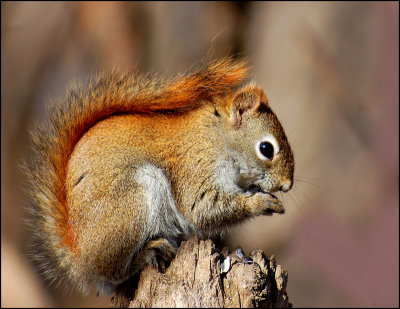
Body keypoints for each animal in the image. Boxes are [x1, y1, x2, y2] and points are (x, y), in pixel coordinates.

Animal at [24, 56, 294, 294]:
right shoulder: (194, 166)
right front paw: (261, 203)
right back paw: (148, 253)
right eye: (266, 148)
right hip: (131, 206)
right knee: (115, 272)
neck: (217, 139)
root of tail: (79, 259)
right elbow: (202, 209)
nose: (287, 185)